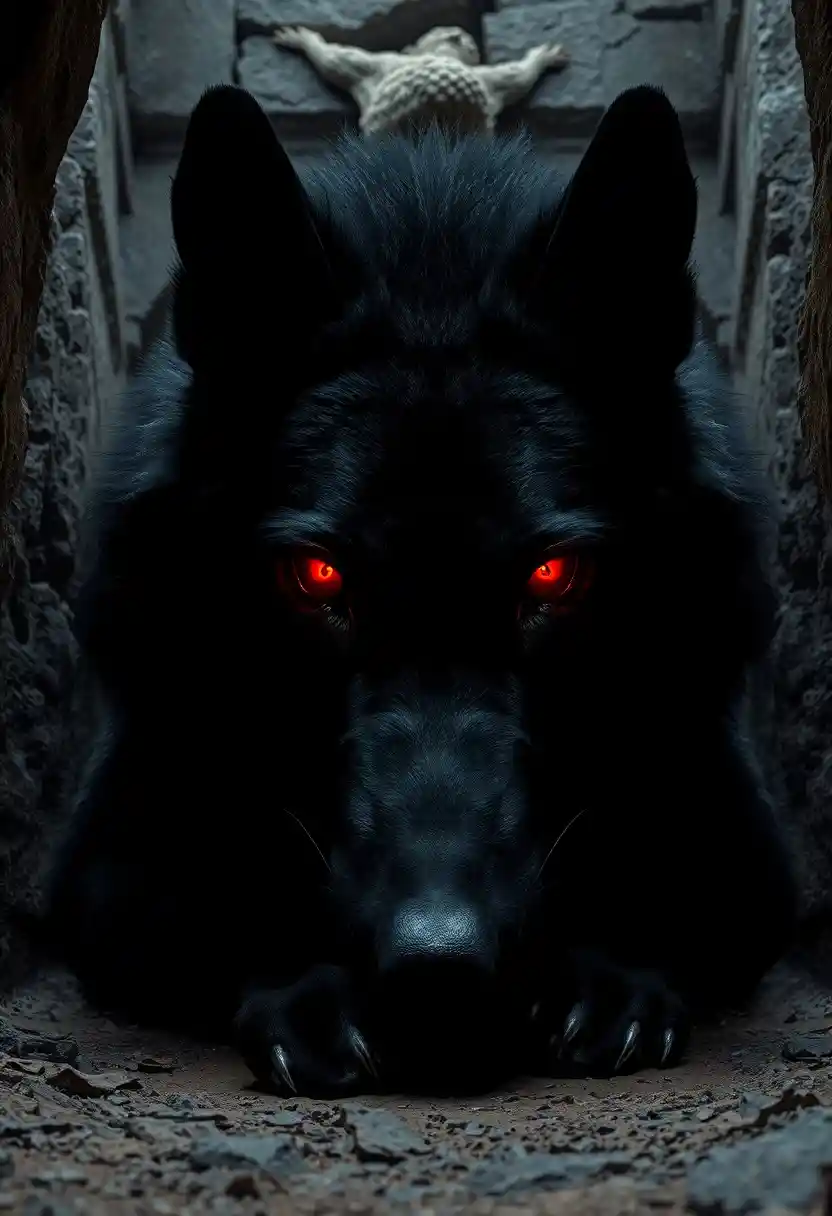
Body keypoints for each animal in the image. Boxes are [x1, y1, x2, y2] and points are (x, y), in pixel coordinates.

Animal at [41, 83, 797, 1097]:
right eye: (317, 575)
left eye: (554, 575)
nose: (439, 964)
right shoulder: (111, 852)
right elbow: (208, 895)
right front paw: (308, 993)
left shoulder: (746, 841)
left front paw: (612, 979)